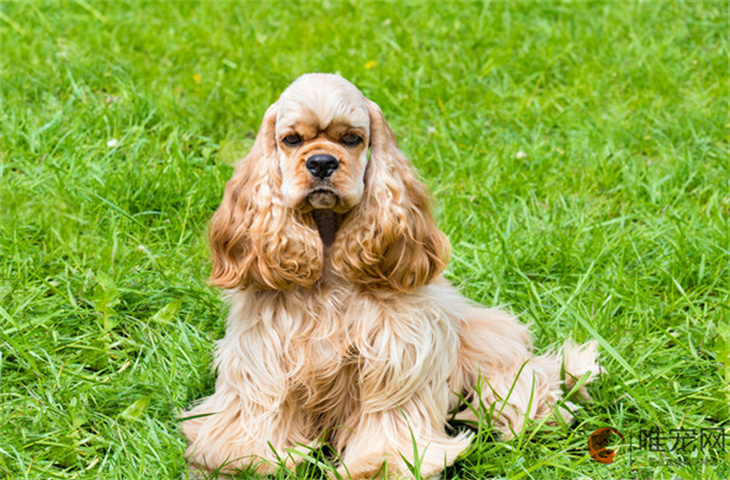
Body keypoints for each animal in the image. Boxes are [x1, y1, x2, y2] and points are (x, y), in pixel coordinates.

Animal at [182, 73, 596, 478]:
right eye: (291, 139)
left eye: (353, 138)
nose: (321, 163)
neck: (328, 250)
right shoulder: (264, 353)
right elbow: (258, 409)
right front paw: (241, 457)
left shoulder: (396, 353)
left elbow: (388, 417)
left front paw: (383, 463)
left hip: (490, 347)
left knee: (529, 380)